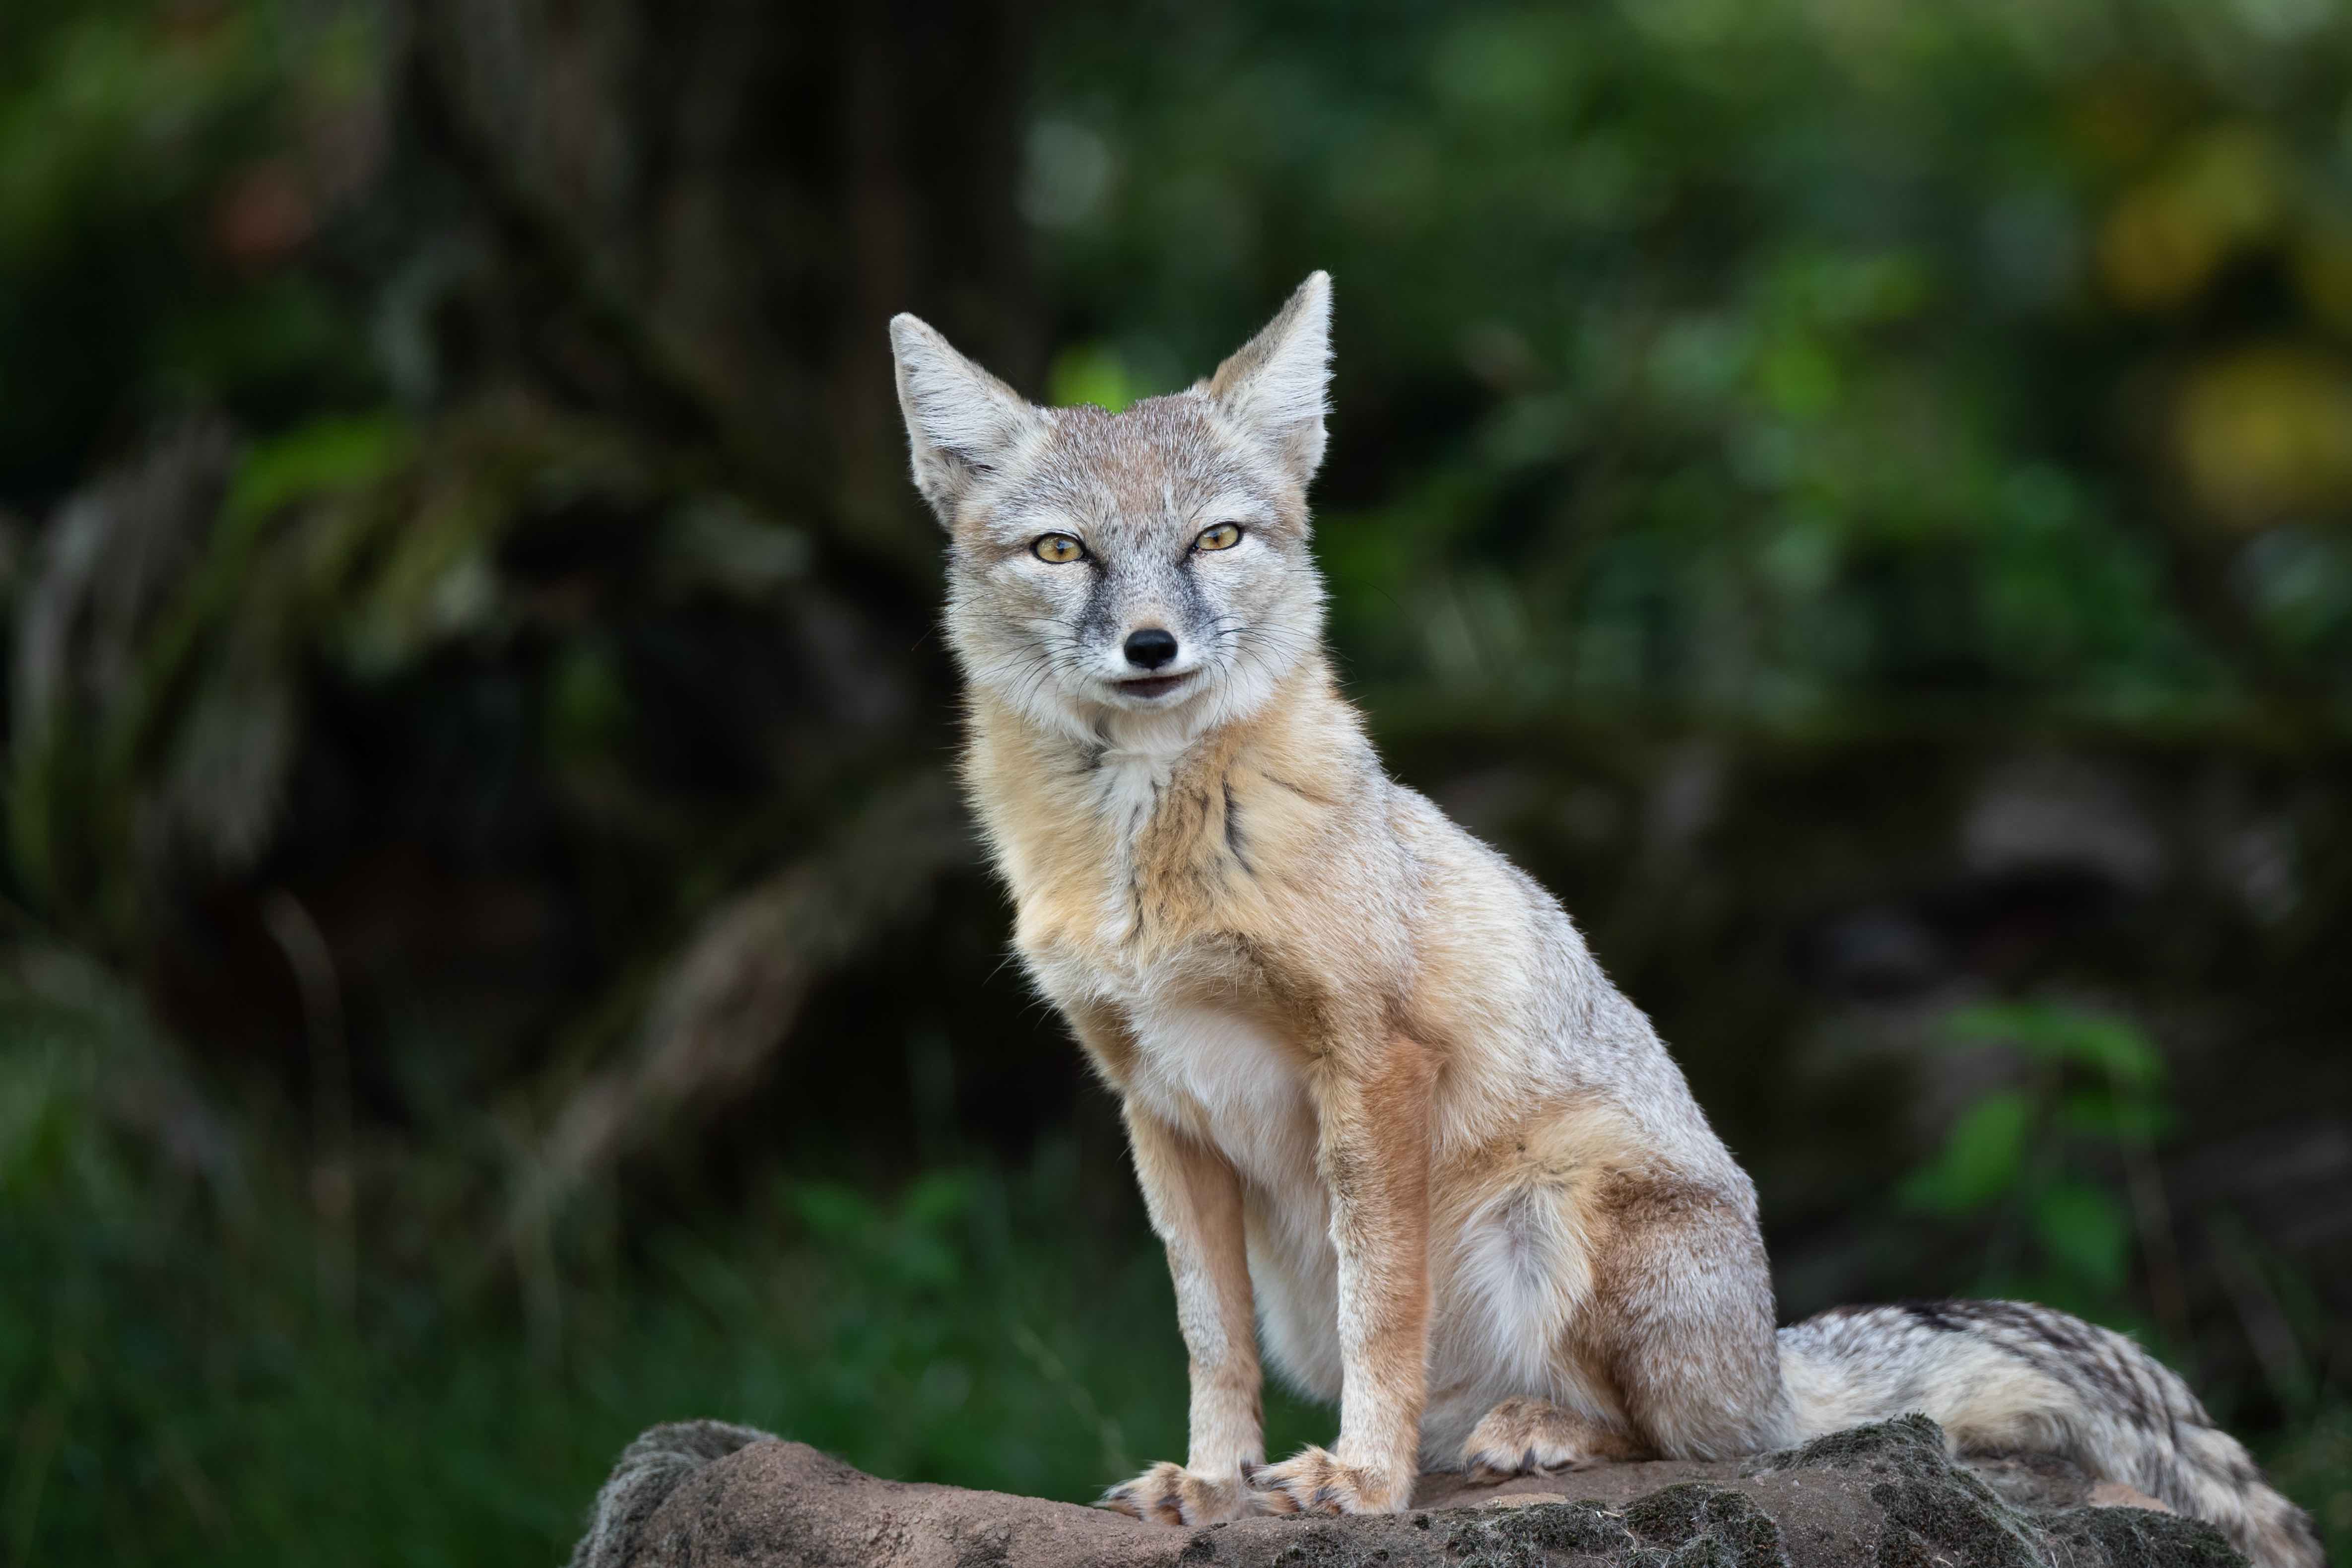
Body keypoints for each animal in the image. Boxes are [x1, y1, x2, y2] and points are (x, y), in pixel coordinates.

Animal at [889, 276, 2324, 1561]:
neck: (1150, 858)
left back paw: (1538, 1432)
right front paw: (1212, 1477)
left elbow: (1383, 1310)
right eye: (1063, 551)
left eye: (1216, 541)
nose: (1150, 647)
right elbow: (1208, 1332)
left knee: (1689, 1440)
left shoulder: (1374, 1061)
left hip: (1568, 1208)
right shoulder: (1156, 1100)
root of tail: (1771, 1359)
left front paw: (1362, 1480)